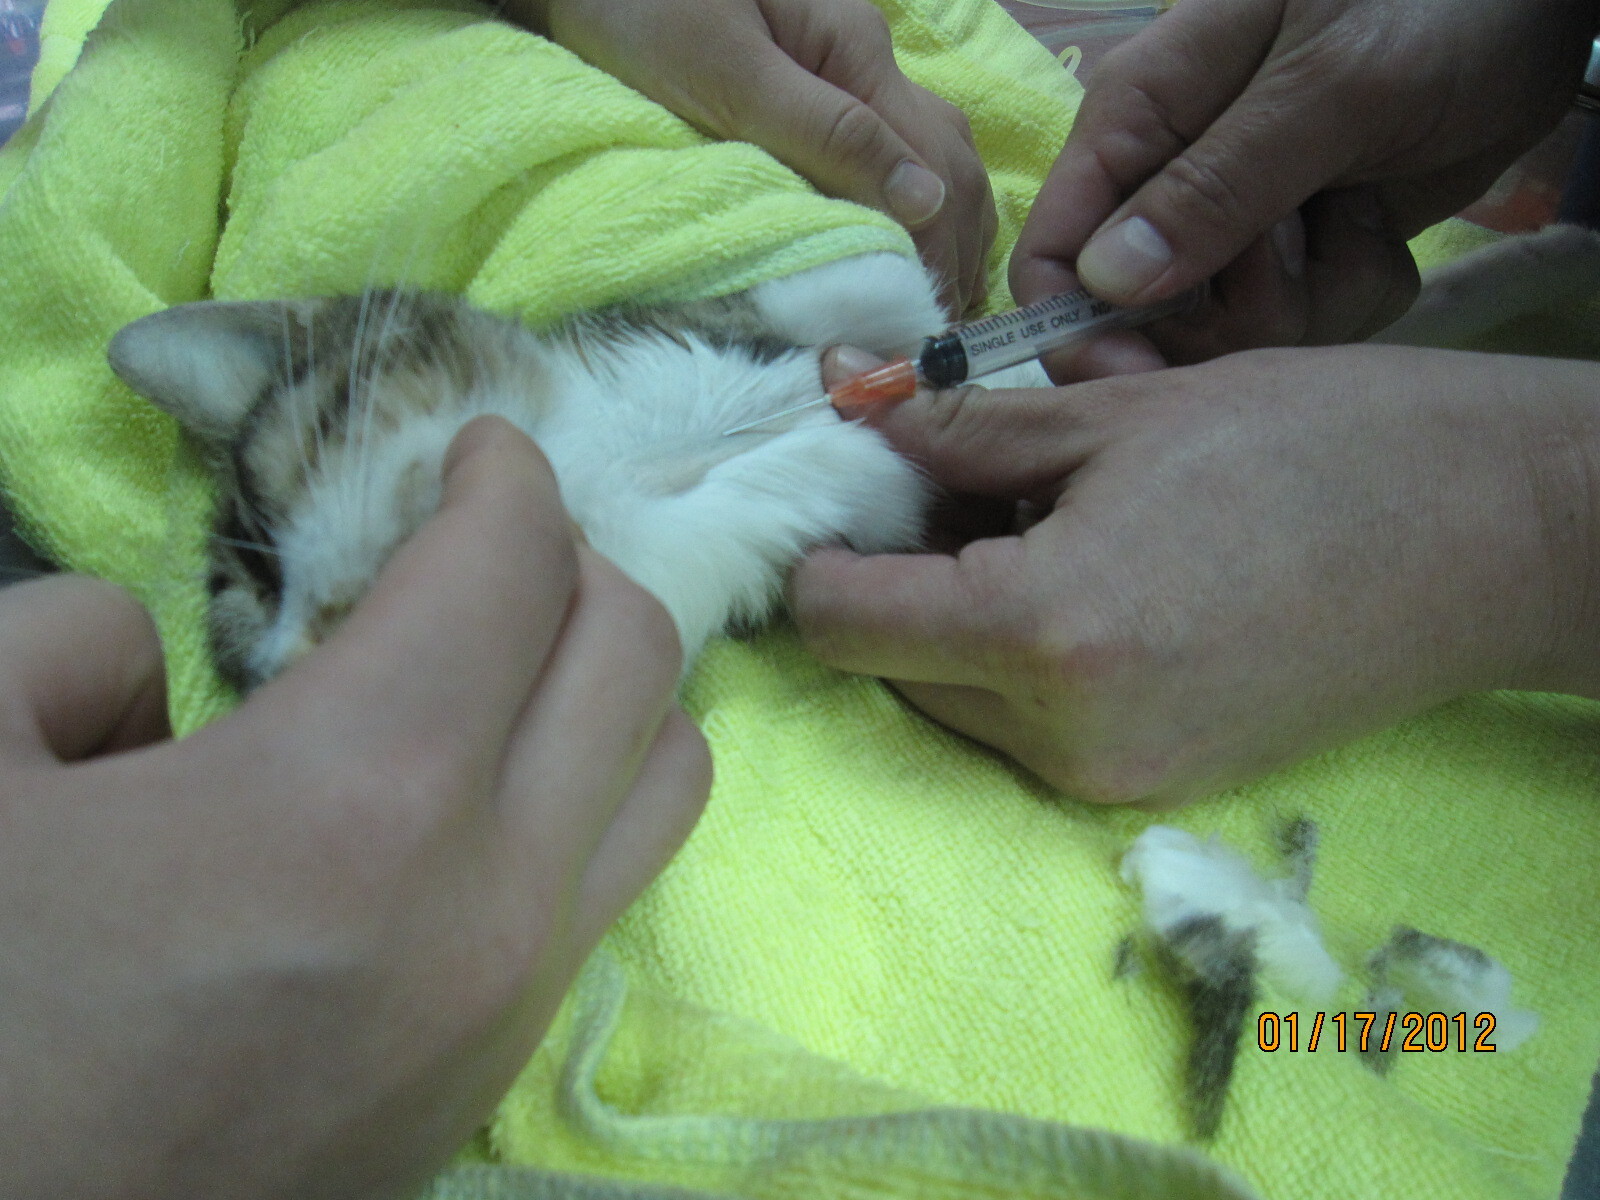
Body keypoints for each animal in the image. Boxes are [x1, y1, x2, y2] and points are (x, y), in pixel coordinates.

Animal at [107, 252, 1002, 691]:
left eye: (263, 512)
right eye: (252, 667)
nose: (300, 645)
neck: (599, 462)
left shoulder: (680, 322)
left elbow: (885, 278)